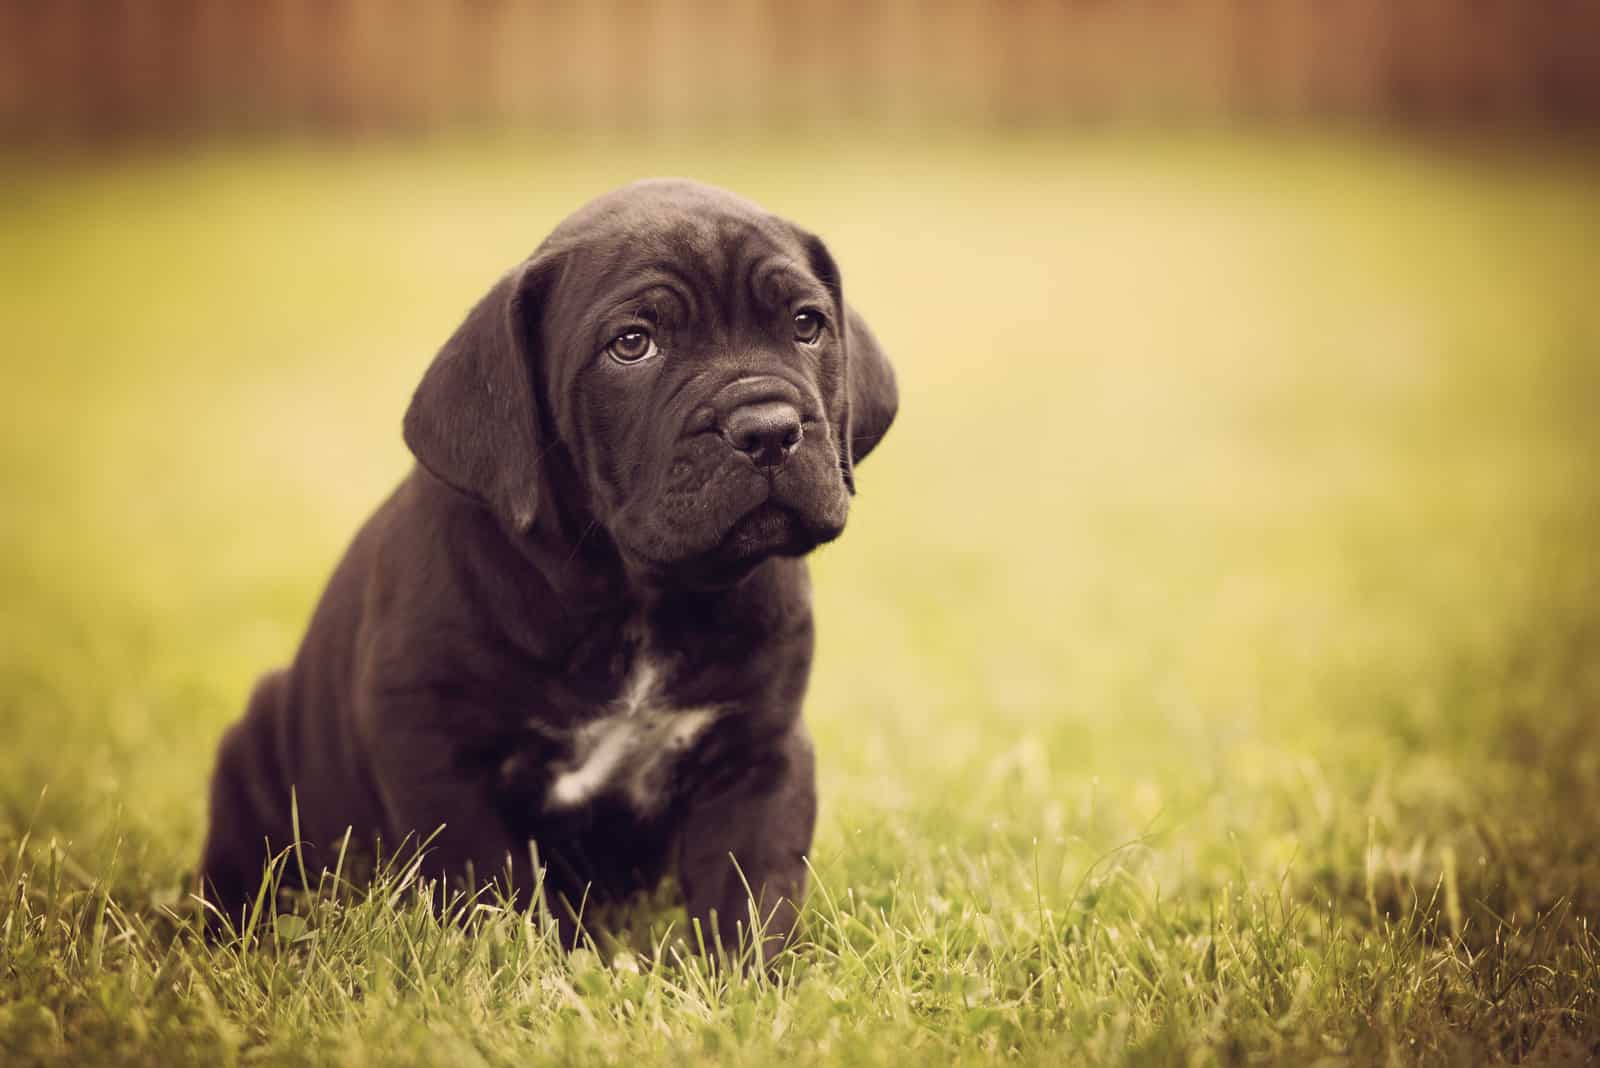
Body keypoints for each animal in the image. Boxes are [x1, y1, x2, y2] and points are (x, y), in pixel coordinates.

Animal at [196, 177, 902, 959]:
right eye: (633, 344)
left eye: (808, 325)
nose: (769, 429)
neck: (633, 599)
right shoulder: (433, 748)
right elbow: (493, 882)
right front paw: (547, 965)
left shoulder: (759, 749)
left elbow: (752, 886)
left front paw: (749, 976)